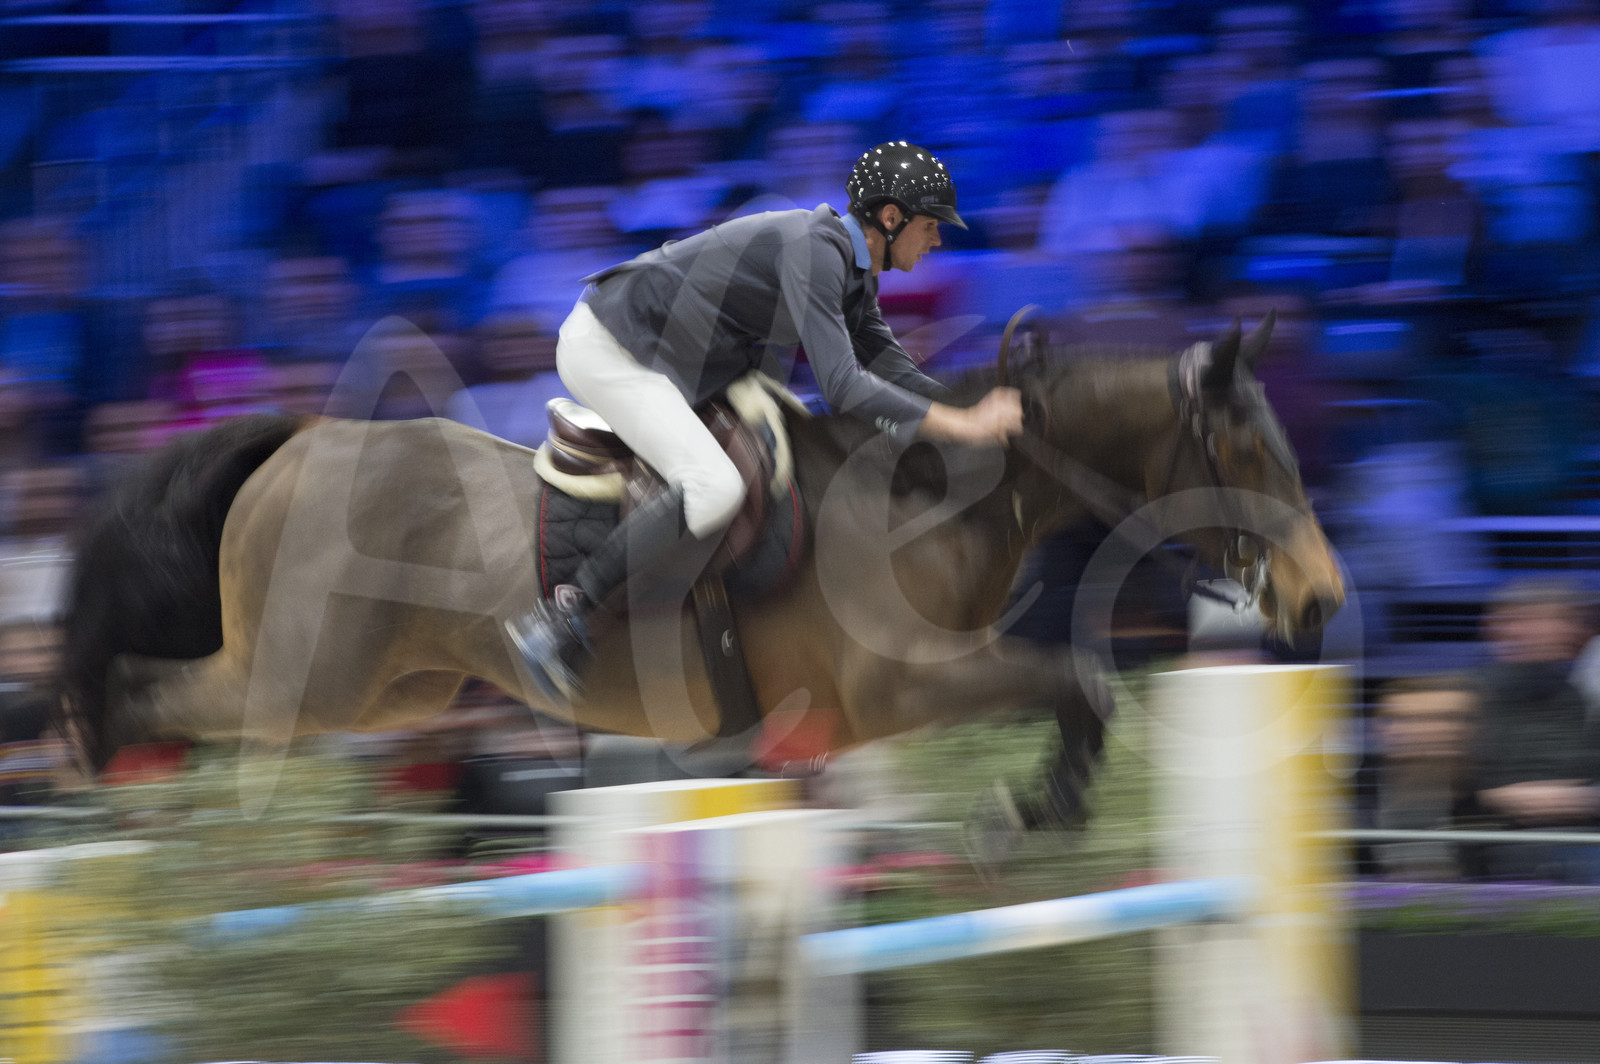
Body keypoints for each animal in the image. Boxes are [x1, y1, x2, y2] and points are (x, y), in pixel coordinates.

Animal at [61, 314, 1343, 828]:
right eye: (1243, 454)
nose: (1321, 598)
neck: (930, 503)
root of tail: (297, 438)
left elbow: (1081, 685)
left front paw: (1043, 803)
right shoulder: (900, 686)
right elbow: (1078, 675)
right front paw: (1028, 810)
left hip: (393, 686)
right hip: (304, 680)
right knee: (146, 682)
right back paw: (100, 763)